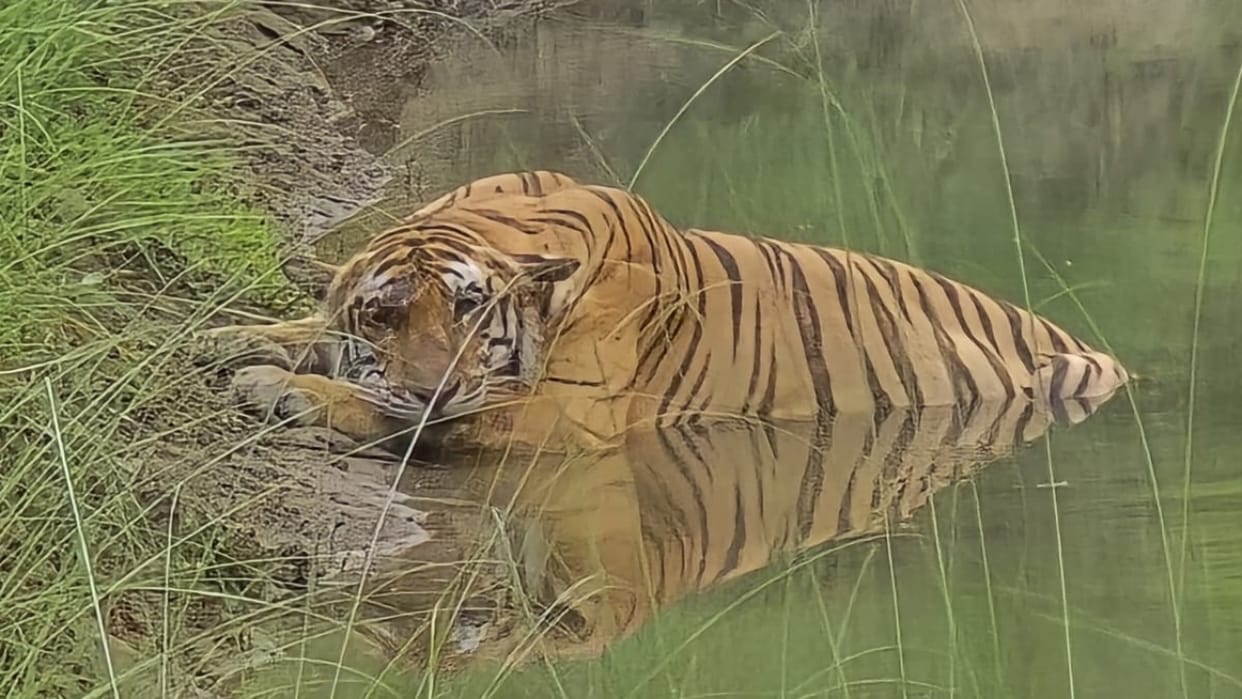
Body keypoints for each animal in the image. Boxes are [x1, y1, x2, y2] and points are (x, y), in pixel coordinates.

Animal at [201, 169, 1129, 454]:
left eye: (469, 310)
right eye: (383, 318)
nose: (433, 384)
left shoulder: (568, 414)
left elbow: (413, 418)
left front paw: (282, 388)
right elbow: (306, 333)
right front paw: (225, 336)